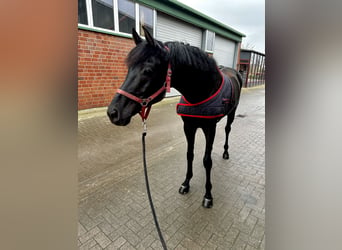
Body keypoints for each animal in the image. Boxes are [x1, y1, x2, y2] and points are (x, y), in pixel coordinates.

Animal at [107, 26, 243, 208]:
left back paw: (226, 152)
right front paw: (186, 184)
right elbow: (189, 154)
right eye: (129, 69)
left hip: (232, 114)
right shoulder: (188, 127)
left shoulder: (210, 129)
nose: (113, 113)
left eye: (148, 70)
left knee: (228, 130)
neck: (201, 92)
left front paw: (208, 195)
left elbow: (207, 161)